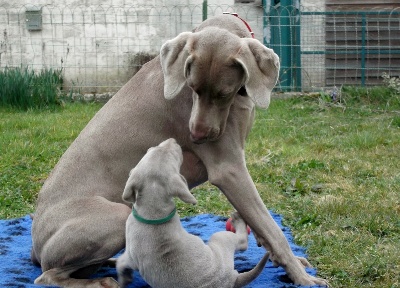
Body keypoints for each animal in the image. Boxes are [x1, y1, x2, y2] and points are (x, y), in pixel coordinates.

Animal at [117, 137, 270, 288]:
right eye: (153, 149)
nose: (172, 140)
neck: (154, 210)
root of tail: (233, 279)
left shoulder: (130, 255)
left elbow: (121, 263)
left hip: (219, 237)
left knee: (242, 243)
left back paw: (238, 219)